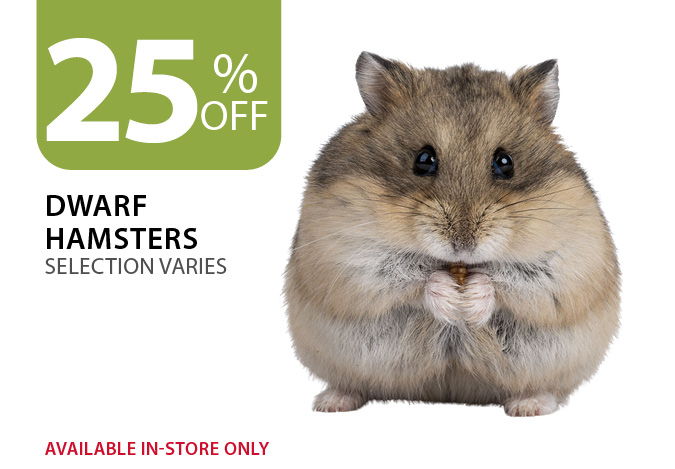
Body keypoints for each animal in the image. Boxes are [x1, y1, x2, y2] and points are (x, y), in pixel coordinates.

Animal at [284, 52, 620, 416]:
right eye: (423, 159)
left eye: (505, 162)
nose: (463, 243)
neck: (458, 266)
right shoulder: (346, 252)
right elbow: (409, 276)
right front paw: (449, 295)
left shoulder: (570, 260)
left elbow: (513, 280)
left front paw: (470, 298)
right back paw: (331, 403)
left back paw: (529, 406)